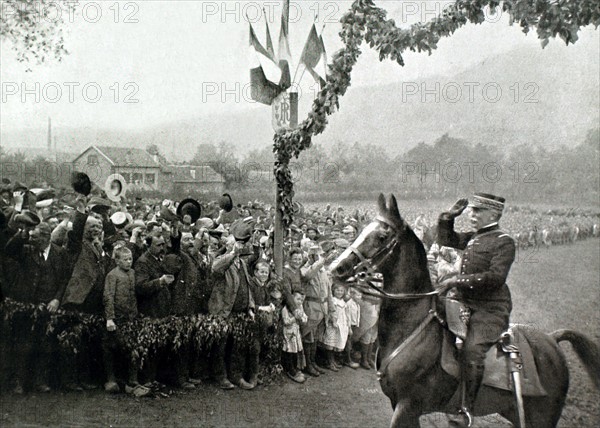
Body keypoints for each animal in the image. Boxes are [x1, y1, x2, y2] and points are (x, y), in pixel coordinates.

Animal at [330, 195, 596, 428]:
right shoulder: (399, 403)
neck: (412, 325)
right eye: (362, 229)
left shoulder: (408, 405)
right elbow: (451, 237)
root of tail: (552, 339)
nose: (336, 268)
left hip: (543, 417)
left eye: (382, 236)